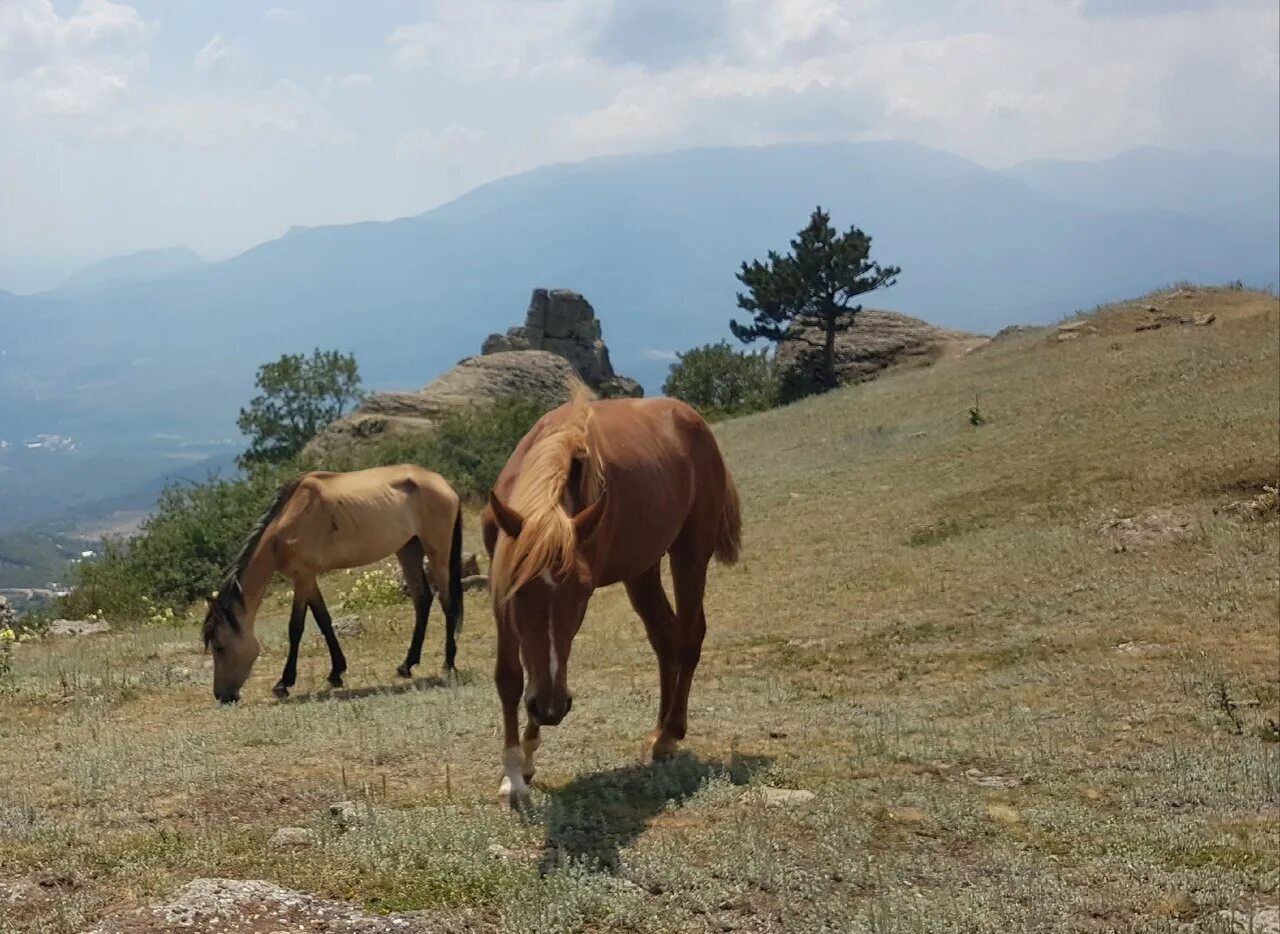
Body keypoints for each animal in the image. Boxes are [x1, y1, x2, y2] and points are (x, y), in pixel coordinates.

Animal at [207, 463, 468, 701]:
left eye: (219, 646)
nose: (221, 696)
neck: (285, 525)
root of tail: (443, 483)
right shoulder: (308, 578)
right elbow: (324, 620)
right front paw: (336, 673)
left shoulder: (303, 577)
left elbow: (295, 628)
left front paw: (283, 683)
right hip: (408, 548)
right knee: (422, 599)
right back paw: (407, 665)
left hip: (437, 550)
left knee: (448, 603)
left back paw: (448, 664)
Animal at [481, 381, 742, 803]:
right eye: (520, 592)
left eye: (584, 591)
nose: (552, 709)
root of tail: (693, 418)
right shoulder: (500, 586)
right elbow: (510, 678)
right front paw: (515, 773)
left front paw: (525, 759)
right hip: (642, 570)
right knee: (665, 638)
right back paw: (659, 728)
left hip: (690, 552)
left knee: (689, 636)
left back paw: (670, 734)